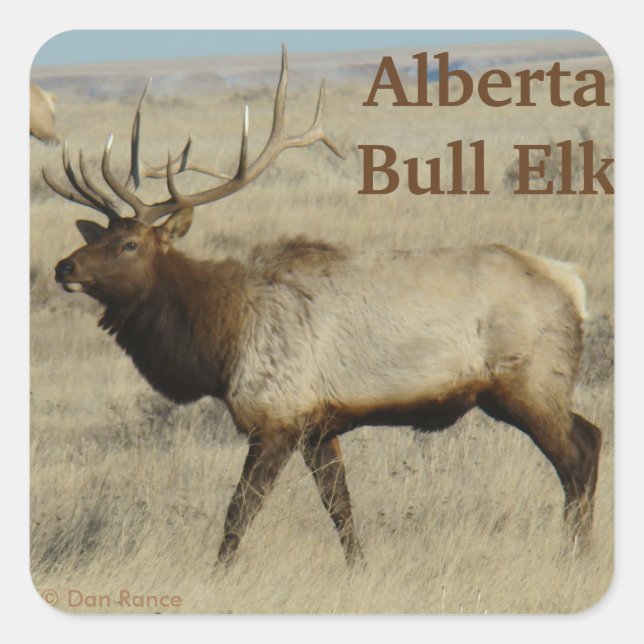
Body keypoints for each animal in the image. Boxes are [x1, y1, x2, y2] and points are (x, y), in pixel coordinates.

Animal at [44, 47, 602, 567]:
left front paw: (218, 574)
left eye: (130, 244)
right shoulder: (318, 424)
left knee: (580, 451)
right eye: (99, 236)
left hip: (528, 381)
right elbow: (340, 508)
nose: (64, 267)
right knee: (590, 439)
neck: (220, 339)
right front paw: (358, 568)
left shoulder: (276, 415)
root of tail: (574, 284)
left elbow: (239, 511)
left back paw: (573, 555)